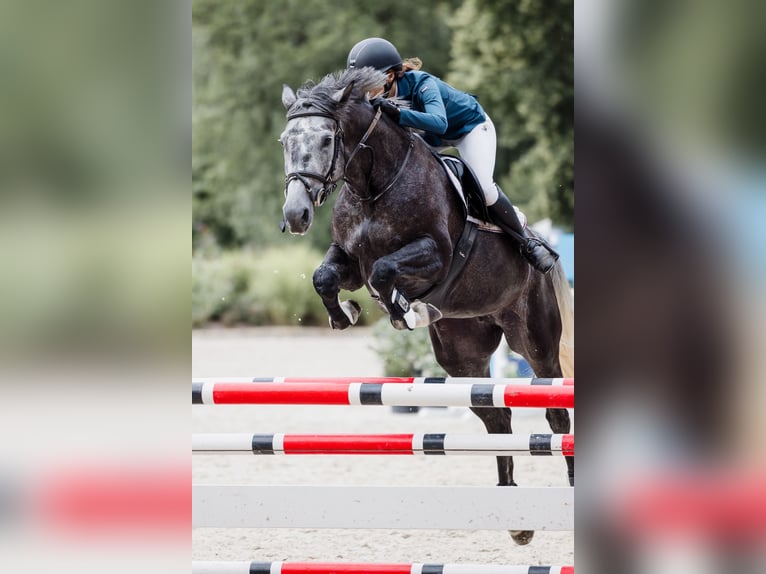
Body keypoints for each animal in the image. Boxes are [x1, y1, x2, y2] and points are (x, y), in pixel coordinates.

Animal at [279, 68, 574, 545]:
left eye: (326, 140)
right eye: (285, 140)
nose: (296, 214)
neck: (373, 187)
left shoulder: (433, 255)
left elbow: (385, 271)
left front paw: (404, 310)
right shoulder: (349, 261)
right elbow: (325, 277)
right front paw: (347, 315)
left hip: (535, 340)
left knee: (555, 412)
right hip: (463, 352)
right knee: (496, 416)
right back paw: (516, 518)